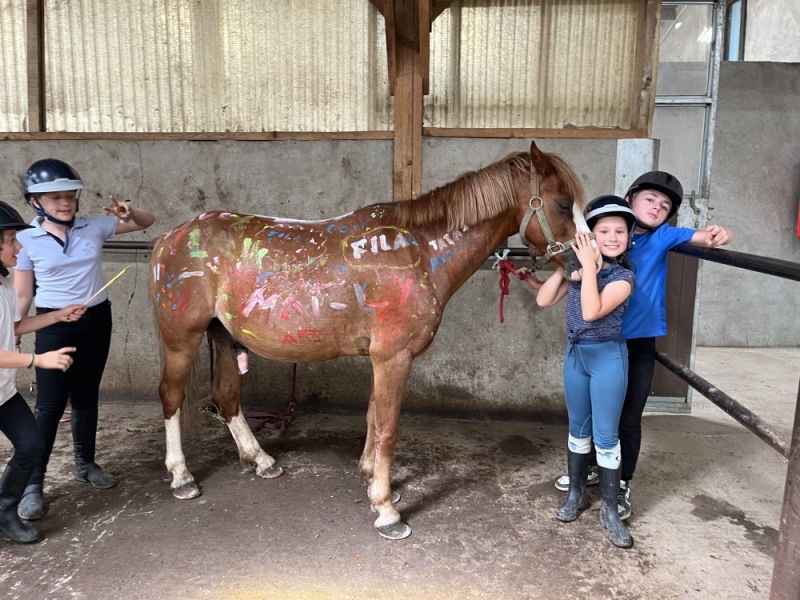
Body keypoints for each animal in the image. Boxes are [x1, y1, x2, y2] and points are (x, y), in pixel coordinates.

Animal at [152, 141, 588, 540]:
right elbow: (388, 429)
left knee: (226, 395)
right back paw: (182, 477)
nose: (586, 263)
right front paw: (386, 509)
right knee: (172, 396)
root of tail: (170, 237)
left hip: (222, 335)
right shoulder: (394, 357)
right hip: (182, 339)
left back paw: (261, 460)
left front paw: (371, 479)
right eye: (563, 203)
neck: (419, 251)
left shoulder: (382, 358)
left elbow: (374, 416)